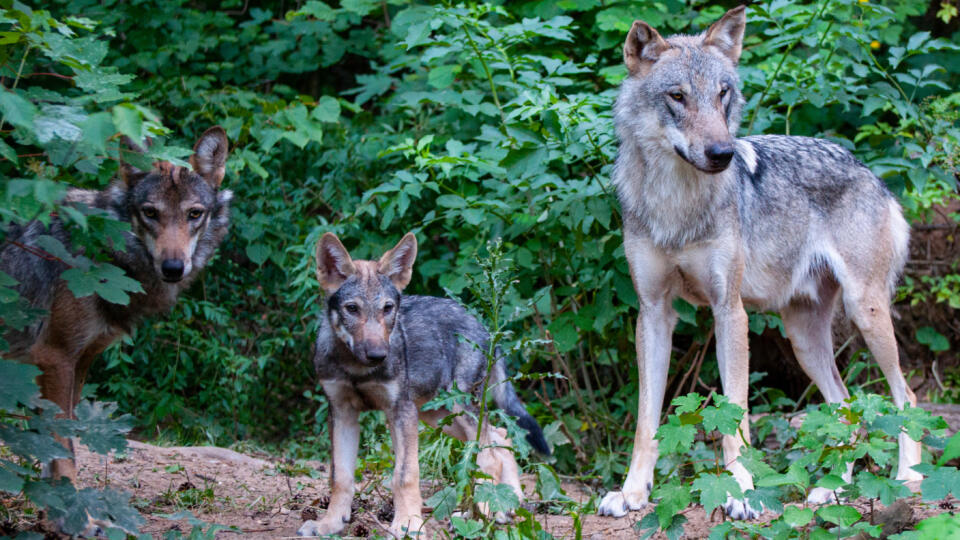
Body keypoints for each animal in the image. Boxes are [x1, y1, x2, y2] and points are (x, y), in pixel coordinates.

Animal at [0, 125, 232, 480]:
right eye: (150, 213)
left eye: (194, 214)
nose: (173, 268)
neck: (99, 253)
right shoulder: (55, 357)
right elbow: (65, 453)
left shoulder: (80, 360)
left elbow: (54, 451)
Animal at [296, 234, 552, 536]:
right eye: (352, 309)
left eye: (388, 308)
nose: (378, 355)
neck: (357, 369)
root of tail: (485, 327)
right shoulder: (341, 412)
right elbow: (340, 476)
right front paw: (330, 523)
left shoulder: (401, 411)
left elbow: (405, 475)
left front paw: (408, 524)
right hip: (440, 417)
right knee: (501, 438)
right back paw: (507, 504)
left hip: (458, 409)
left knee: (490, 456)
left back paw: (487, 512)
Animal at [600, 6, 924, 524]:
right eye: (677, 96)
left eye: (722, 94)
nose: (722, 154)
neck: (677, 204)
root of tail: (868, 170)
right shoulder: (652, 314)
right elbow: (646, 419)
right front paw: (632, 493)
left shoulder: (729, 311)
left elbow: (737, 416)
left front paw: (742, 493)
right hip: (803, 338)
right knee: (847, 409)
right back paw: (830, 491)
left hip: (865, 313)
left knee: (905, 396)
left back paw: (908, 479)